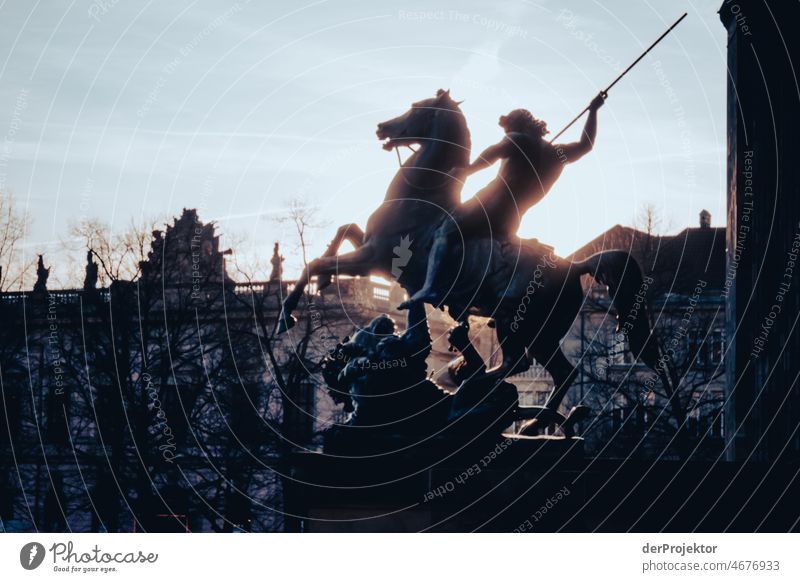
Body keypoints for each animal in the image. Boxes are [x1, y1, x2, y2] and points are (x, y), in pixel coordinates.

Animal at [278, 89, 664, 432]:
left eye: (417, 108)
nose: (381, 127)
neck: (420, 196)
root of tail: (573, 266)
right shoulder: (374, 253)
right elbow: (343, 232)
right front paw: (321, 286)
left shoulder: (373, 257)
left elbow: (315, 263)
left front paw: (288, 314)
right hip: (537, 330)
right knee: (551, 370)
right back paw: (520, 409)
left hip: (523, 325)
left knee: (528, 364)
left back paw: (485, 389)